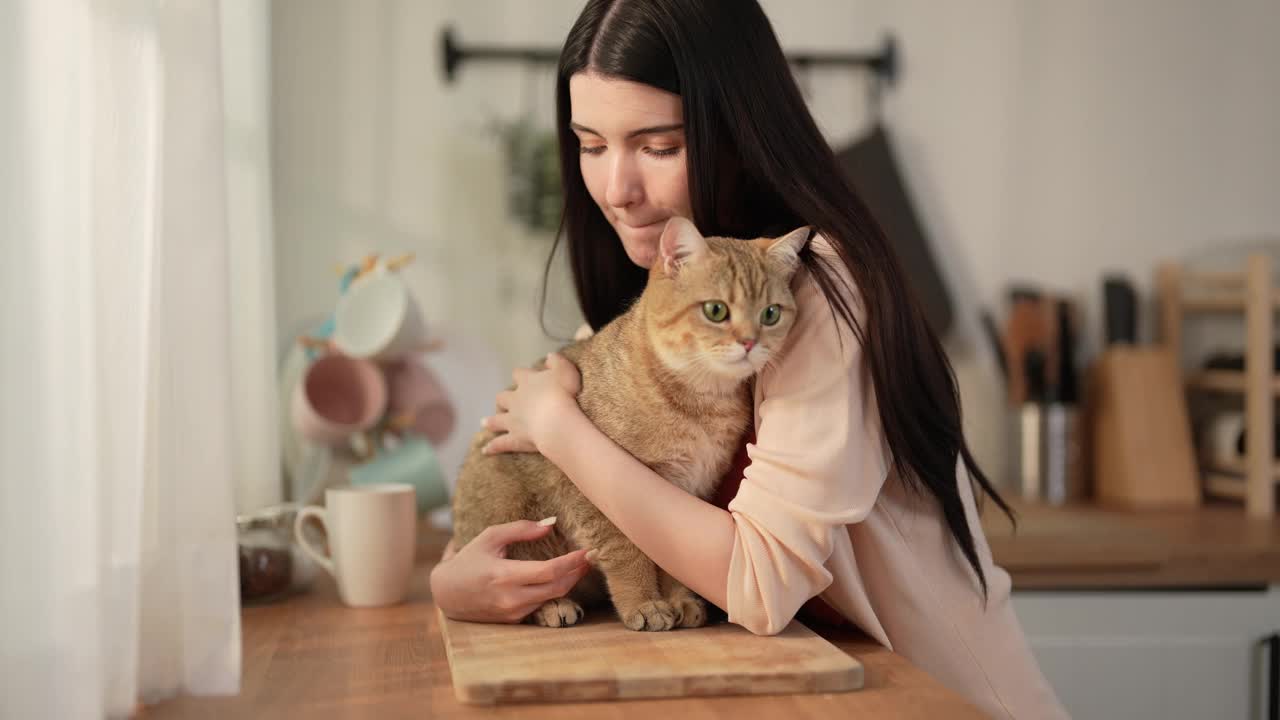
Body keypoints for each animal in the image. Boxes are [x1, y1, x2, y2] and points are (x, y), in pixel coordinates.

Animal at [455, 217, 803, 627]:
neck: (701, 402)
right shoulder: (593, 496)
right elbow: (626, 554)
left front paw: (679, 600)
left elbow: (671, 561)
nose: (750, 342)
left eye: (771, 314)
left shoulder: (687, 491)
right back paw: (552, 604)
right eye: (716, 310)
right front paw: (644, 603)